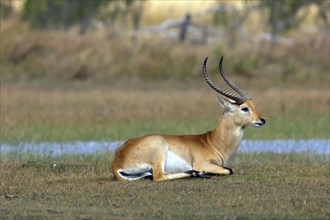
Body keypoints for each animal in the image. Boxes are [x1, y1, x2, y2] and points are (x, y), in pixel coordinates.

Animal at [111, 55, 266, 181]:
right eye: (244, 108)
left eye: (253, 105)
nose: (262, 120)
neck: (212, 142)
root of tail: (117, 160)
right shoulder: (204, 163)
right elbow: (229, 170)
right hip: (159, 151)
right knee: (159, 176)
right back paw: (198, 173)